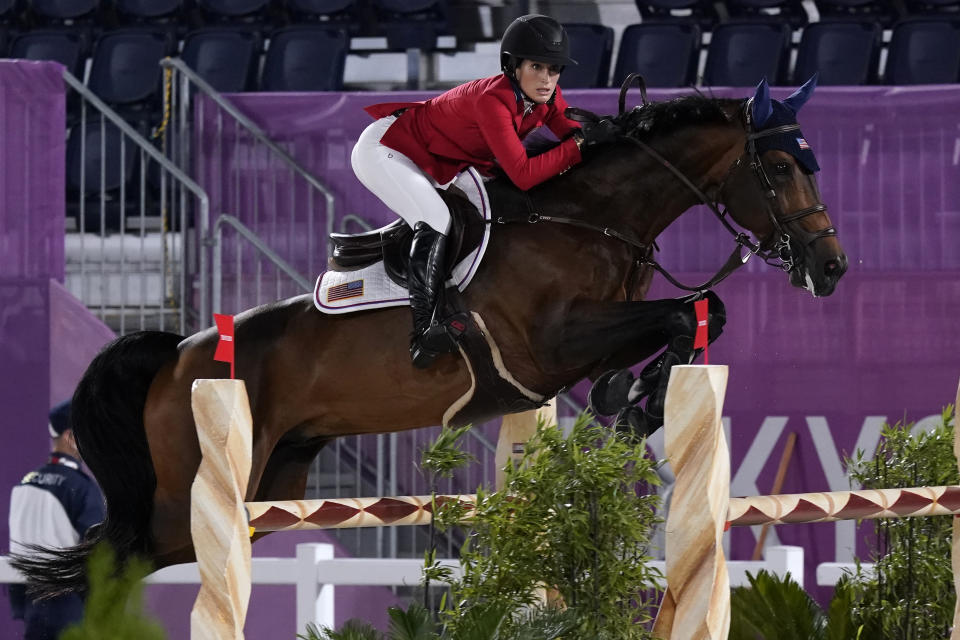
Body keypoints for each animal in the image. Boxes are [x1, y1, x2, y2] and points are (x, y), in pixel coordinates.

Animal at [13, 80, 848, 596]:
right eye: (780, 166)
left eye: (813, 163)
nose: (831, 268)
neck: (587, 218)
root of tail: (180, 355)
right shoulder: (549, 343)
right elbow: (682, 314)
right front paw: (634, 403)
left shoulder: (576, 348)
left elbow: (700, 314)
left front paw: (633, 396)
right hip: (187, 493)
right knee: (117, 560)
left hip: (273, 479)